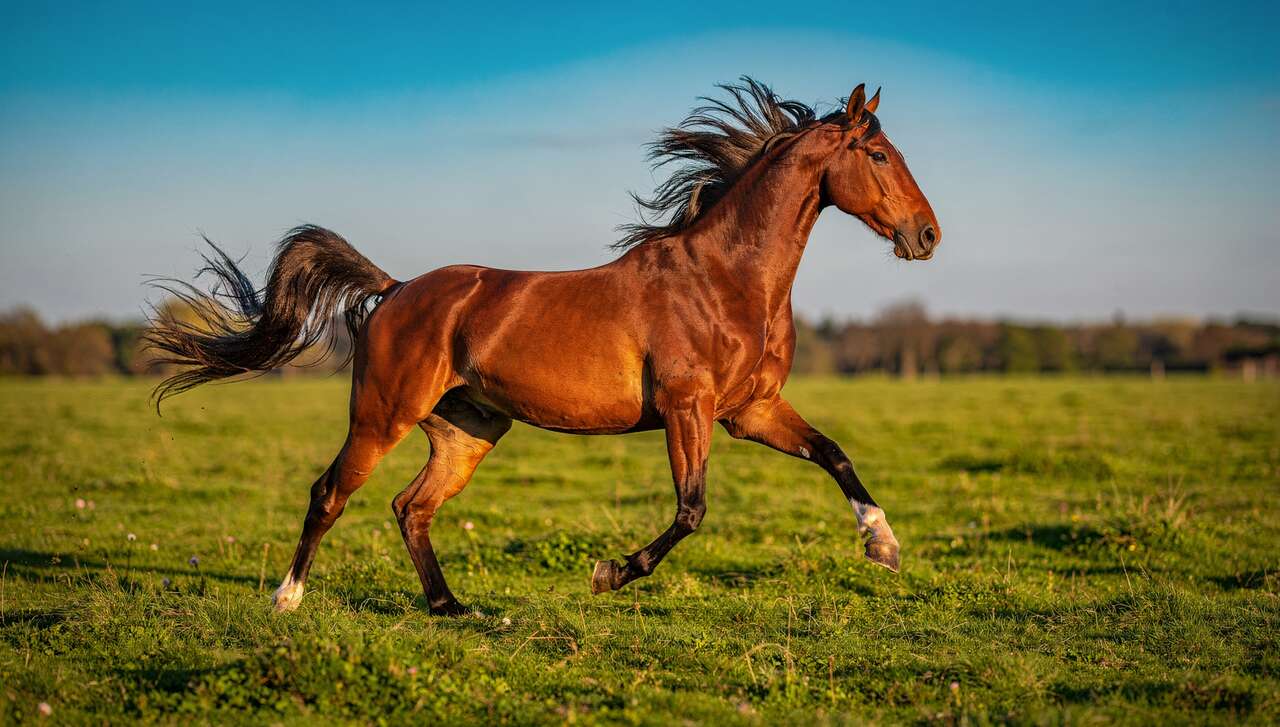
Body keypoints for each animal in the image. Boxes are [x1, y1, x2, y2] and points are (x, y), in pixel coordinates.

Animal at [146, 78, 940, 615]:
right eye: (877, 153)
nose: (928, 234)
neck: (724, 279)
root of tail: (395, 288)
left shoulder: (752, 410)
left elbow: (834, 453)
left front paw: (884, 545)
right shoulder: (690, 407)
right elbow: (691, 508)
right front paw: (609, 573)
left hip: (468, 430)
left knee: (411, 506)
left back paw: (451, 606)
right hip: (381, 414)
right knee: (331, 492)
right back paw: (287, 597)